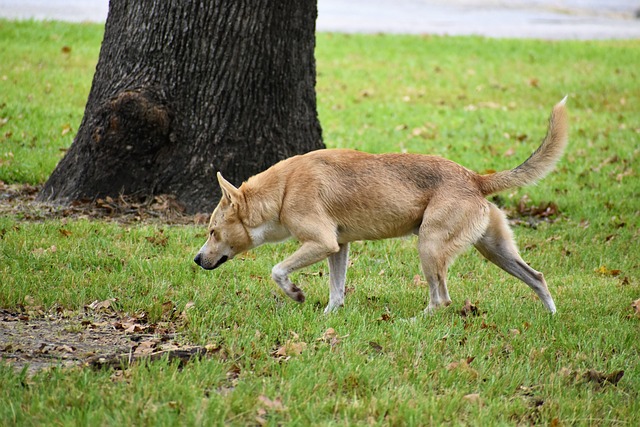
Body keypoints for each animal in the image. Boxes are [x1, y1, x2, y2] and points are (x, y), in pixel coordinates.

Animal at [192, 98, 568, 316]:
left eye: (212, 231)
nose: (196, 260)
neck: (283, 189)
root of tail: (475, 178)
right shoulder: (338, 247)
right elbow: (336, 290)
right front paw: (328, 318)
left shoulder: (320, 242)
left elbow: (277, 270)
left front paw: (296, 294)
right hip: (494, 249)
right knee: (537, 277)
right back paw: (551, 315)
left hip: (429, 246)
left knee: (441, 299)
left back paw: (415, 321)